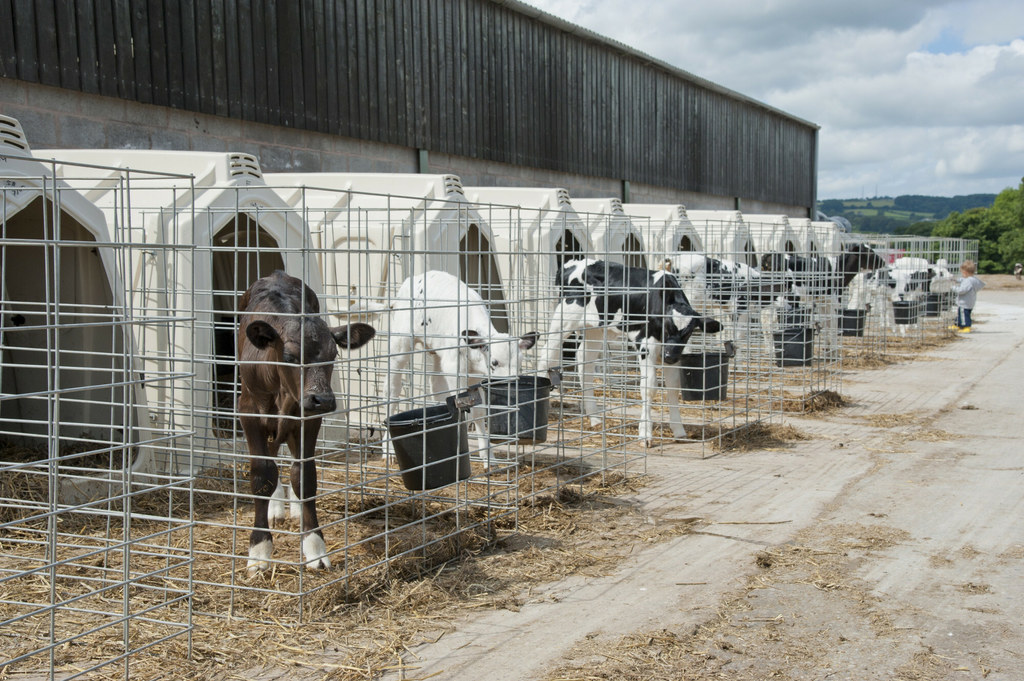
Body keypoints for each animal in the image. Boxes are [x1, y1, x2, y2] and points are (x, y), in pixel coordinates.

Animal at [540, 258, 724, 444]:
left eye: (687, 333)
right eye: (666, 327)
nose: (669, 356)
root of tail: (572, 263)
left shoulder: (674, 353)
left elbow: (673, 387)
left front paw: (679, 429)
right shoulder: (645, 344)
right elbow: (649, 387)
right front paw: (645, 433)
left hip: (595, 328)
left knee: (585, 364)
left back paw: (595, 419)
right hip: (564, 319)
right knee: (546, 355)